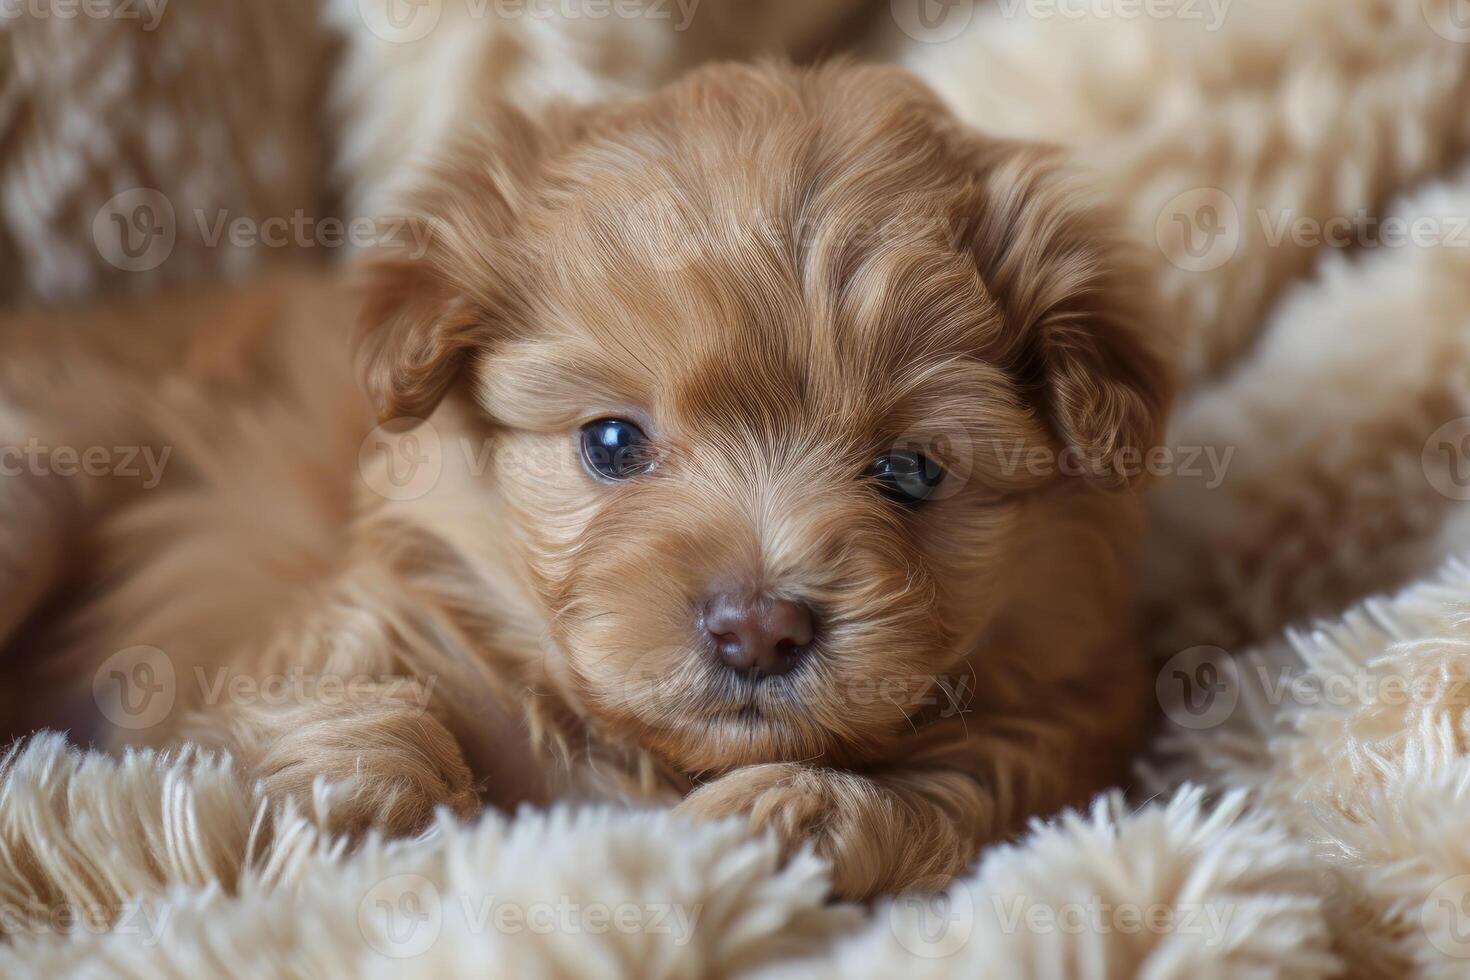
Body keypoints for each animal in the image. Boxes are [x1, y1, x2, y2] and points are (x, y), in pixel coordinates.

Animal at [0, 63, 1170, 905]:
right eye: (612, 442)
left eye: (912, 469)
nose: (759, 628)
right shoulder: (354, 622)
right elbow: (324, 720)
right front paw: (375, 787)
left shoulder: (1060, 711)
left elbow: (949, 795)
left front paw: (789, 815)